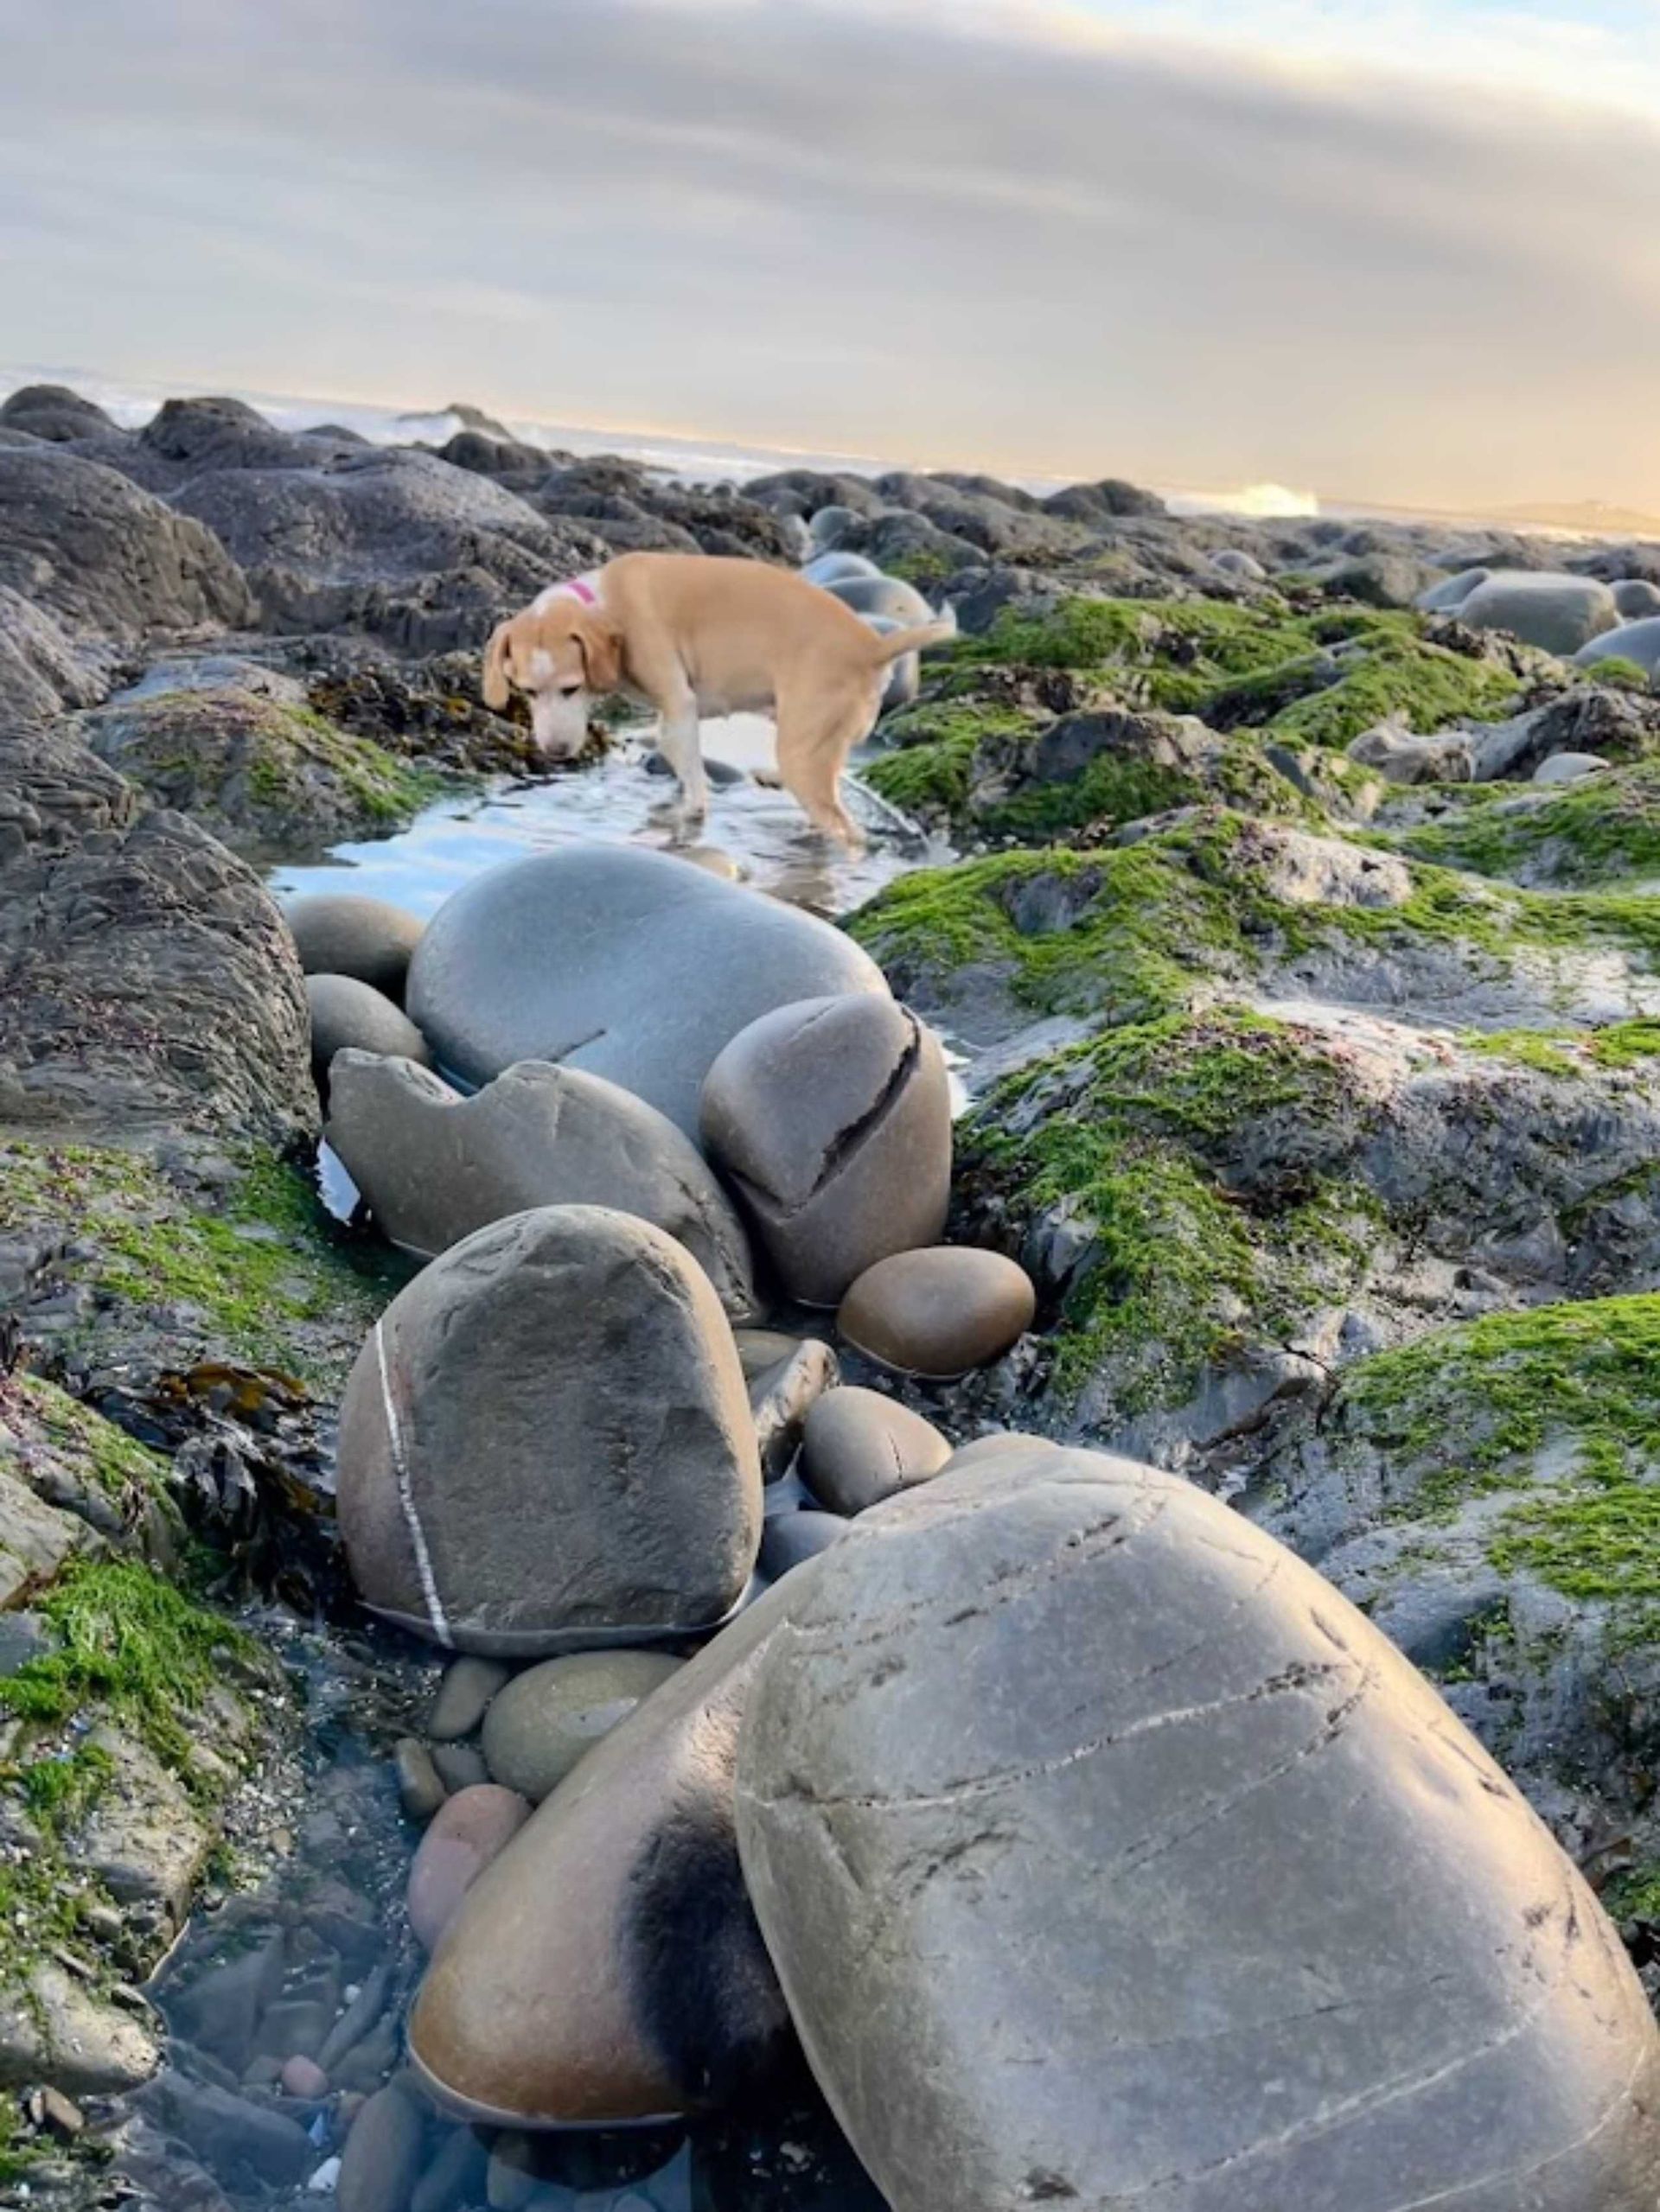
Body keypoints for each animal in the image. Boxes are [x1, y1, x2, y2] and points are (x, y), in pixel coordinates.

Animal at [480, 548, 955, 840]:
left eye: (571, 687)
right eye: (526, 691)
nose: (556, 752)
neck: (602, 603)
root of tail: (873, 647)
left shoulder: (679, 704)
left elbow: (691, 775)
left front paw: (689, 810)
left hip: (803, 746)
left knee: (845, 829)